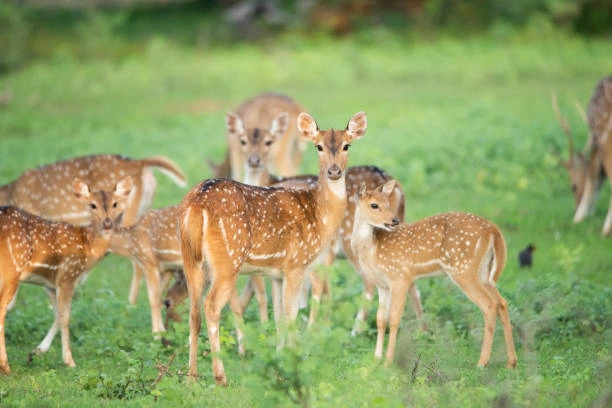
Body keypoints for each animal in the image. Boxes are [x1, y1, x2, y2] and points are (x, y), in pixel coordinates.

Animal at [0, 175, 133, 372]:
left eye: (115, 203)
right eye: (92, 205)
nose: (108, 224)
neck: (88, 248)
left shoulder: (50, 282)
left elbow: (57, 314)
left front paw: (36, 352)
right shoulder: (68, 275)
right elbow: (66, 317)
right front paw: (69, 361)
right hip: (11, 271)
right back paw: (6, 366)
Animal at [179, 110, 366, 384]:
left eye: (346, 145)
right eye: (319, 146)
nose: (334, 171)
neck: (320, 215)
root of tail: (196, 205)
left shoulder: (276, 274)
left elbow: (279, 318)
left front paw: (280, 360)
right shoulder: (297, 263)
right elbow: (290, 316)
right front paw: (294, 364)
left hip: (189, 258)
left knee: (193, 312)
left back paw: (191, 377)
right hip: (228, 259)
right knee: (211, 306)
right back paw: (221, 377)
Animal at [354, 180, 516, 368]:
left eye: (388, 203)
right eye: (374, 205)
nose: (394, 220)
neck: (372, 249)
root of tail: (494, 230)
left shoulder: (400, 276)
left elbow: (394, 318)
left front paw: (388, 362)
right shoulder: (382, 284)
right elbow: (381, 319)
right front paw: (376, 358)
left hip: (463, 269)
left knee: (489, 305)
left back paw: (482, 362)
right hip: (483, 272)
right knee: (502, 303)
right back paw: (511, 362)